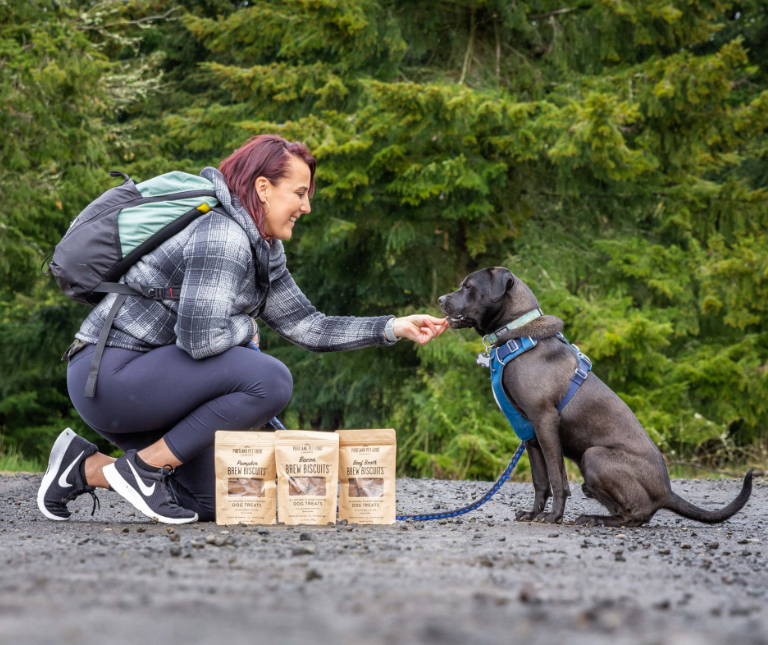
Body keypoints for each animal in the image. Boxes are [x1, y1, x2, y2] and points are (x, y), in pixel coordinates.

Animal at [440, 266, 752, 524]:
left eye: (468, 287)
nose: (441, 299)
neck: (518, 334)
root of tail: (667, 492)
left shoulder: (545, 421)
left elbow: (557, 479)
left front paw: (553, 517)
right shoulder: (529, 433)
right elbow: (540, 481)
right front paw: (533, 513)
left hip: (594, 456)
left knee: (638, 514)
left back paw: (597, 520)